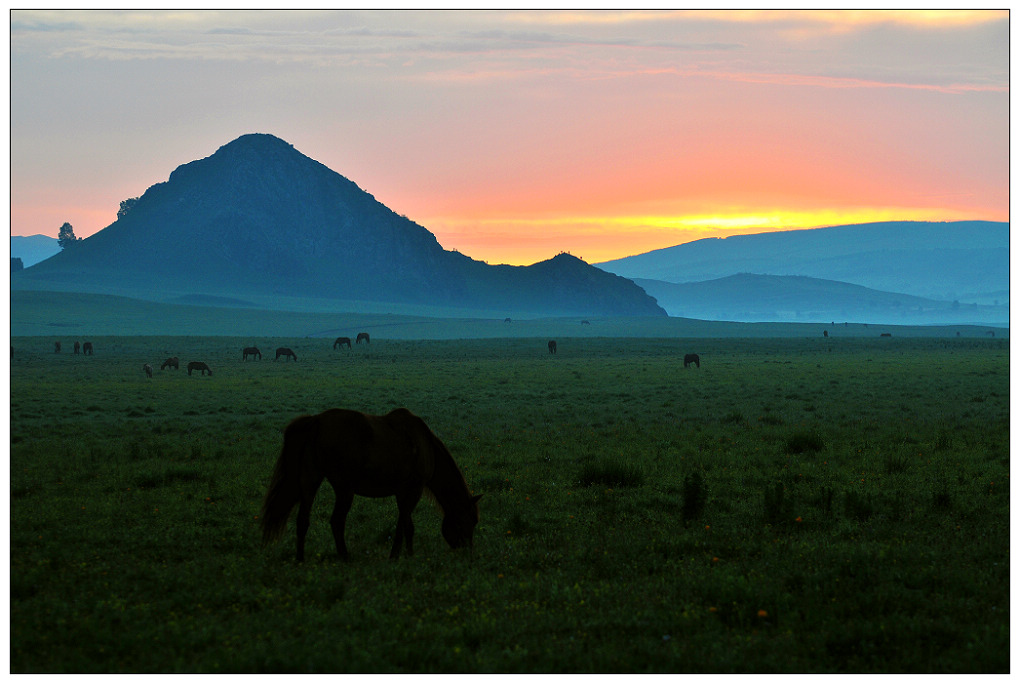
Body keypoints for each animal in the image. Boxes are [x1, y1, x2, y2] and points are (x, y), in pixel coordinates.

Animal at [259, 409, 481, 562]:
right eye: (470, 519)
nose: (468, 552)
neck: (426, 446)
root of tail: (317, 422)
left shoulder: (401, 493)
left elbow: (402, 524)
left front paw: (397, 555)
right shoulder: (413, 490)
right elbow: (408, 526)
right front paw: (406, 555)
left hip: (310, 481)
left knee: (303, 520)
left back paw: (300, 559)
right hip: (344, 489)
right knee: (336, 521)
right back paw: (345, 557)